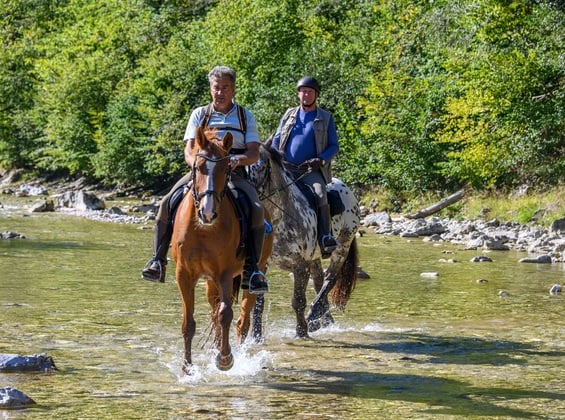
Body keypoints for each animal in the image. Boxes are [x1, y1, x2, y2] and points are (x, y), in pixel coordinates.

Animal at [170, 127, 270, 374]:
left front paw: (225, 359)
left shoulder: (224, 273)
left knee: (242, 319)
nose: (208, 212)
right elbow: (189, 322)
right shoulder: (184, 274)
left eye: (226, 168)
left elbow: (226, 314)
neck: (204, 230)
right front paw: (187, 368)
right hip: (210, 282)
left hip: (252, 274)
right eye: (198, 167)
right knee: (215, 310)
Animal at [248, 139, 362, 340]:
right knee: (318, 281)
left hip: (342, 246)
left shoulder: (300, 264)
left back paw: (313, 316)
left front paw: (301, 331)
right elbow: (258, 303)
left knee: (329, 279)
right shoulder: (263, 264)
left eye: (261, 167)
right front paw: (255, 337)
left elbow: (298, 300)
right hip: (315, 257)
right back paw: (323, 320)